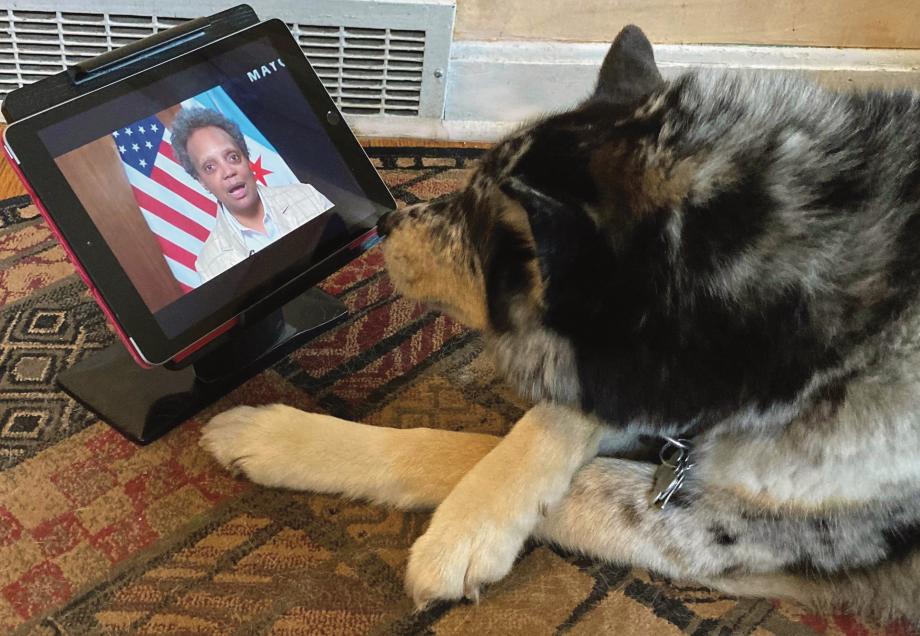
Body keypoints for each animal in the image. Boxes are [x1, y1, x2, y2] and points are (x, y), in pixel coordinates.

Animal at [201, 26, 920, 620]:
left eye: (478, 228)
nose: (386, 219)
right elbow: (542, 421)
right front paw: (280, 437)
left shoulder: (727, 530)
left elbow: (490, 454)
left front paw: (460, 531)